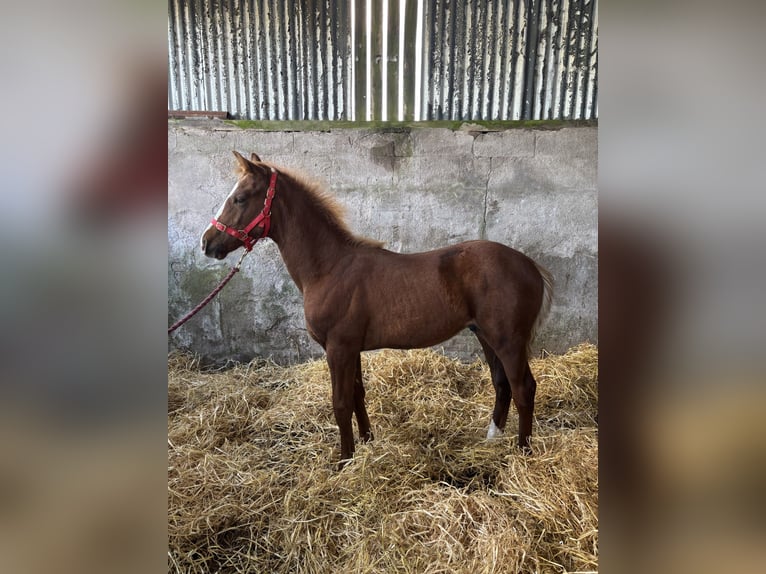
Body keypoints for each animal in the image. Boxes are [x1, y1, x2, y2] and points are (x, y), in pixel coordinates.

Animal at [200, 151, 554, 468]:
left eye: (240, 198)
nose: (207, 242)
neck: (329, 267)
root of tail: (530, 266)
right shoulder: (350, 348)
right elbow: (358, 395)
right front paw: (367, 442)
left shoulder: (338, 348)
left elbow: (341, 403)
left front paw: (344, 460)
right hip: (485, 334)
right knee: (502, 383)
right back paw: (492, 439)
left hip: (508, 340)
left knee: (523, 388)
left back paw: (523, 452)